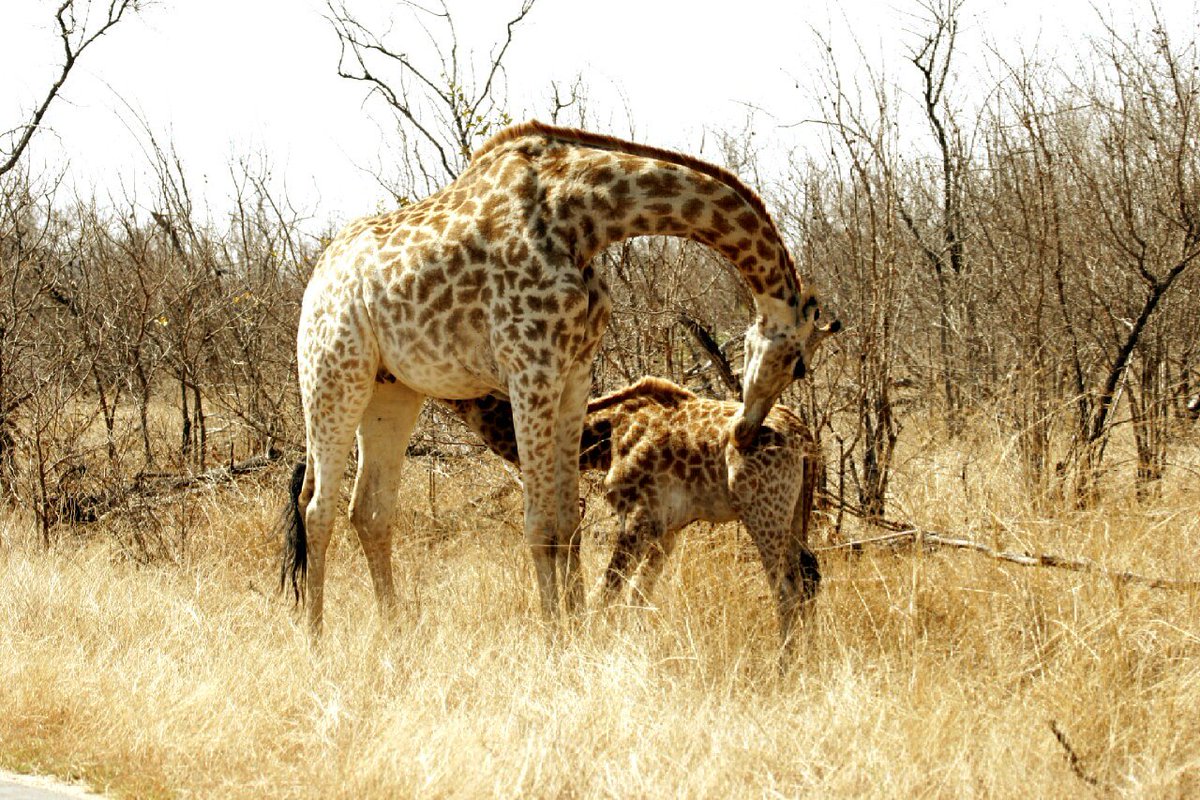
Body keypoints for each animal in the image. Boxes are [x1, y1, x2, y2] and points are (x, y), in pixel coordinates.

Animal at [444, 374, 828, 654]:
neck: (604, 438)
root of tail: (804, 438)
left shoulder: (639, 518)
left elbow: (606, 592)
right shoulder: (668, 529)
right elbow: (637, 596)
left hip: (763, 512)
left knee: (786, 586)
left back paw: (783, 665)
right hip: (797, 512)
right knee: (809, 575)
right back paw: (808, 658)